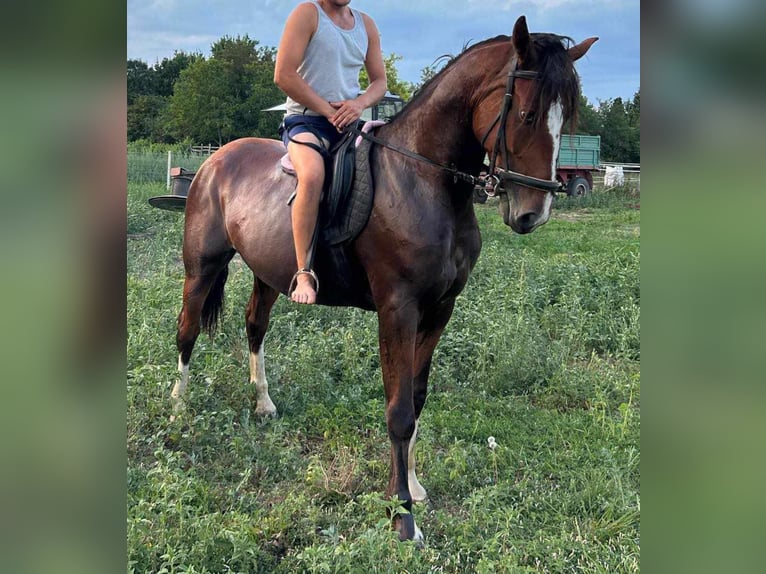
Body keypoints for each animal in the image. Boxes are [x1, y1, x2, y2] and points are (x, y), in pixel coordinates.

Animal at [171, 15, 596, 544]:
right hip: (201, 267)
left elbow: (416, 398)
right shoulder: (398, 310)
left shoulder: (439, 310)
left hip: (268, 273)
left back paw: (264, 404)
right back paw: (178, 410)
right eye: (528, 114)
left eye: (567, 119)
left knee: (254, 327)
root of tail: (215, 160)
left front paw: (413, 487)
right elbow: (398, 411)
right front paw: (402, 518)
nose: (532, 214)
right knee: (187, 330)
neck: (423, 179)